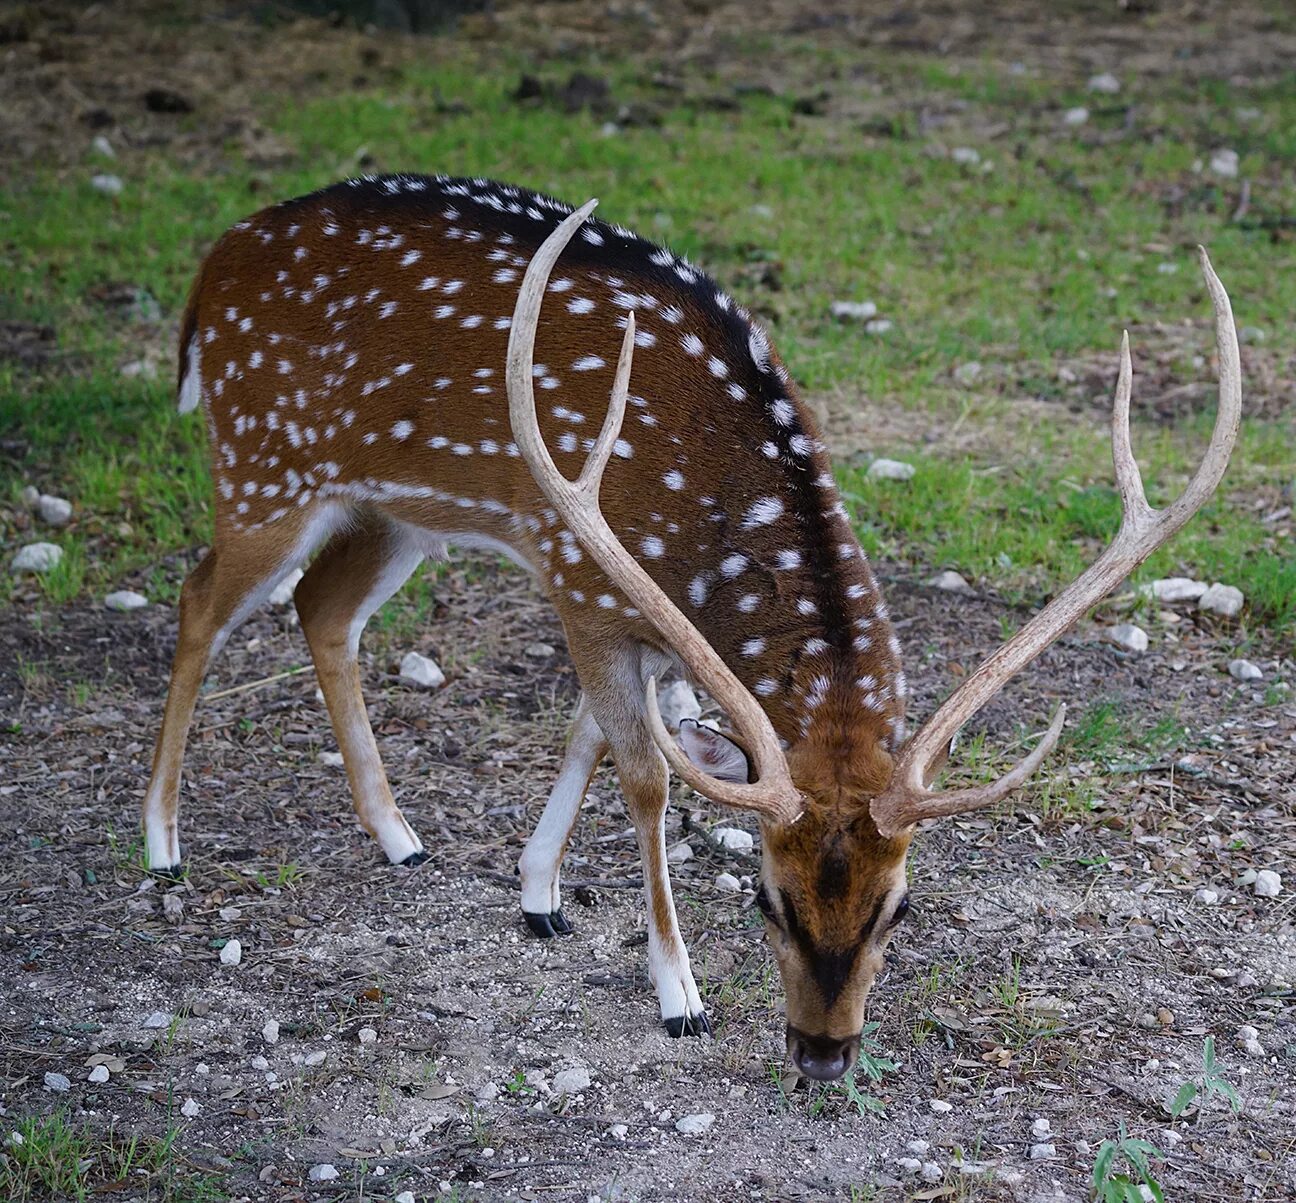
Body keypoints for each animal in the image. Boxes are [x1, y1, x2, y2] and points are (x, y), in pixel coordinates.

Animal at [144, 173, 1244, 1083]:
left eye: (897, 906)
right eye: (766, 899)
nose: (823, 1055)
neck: (699, 519)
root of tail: (210, 265)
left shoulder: (655, 626)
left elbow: (591, 735)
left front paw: (538, 891)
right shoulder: (576, 569)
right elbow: (646, 775)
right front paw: (678, 993)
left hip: (390, 510)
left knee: (322, 610)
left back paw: (399, 836)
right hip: (265, 462)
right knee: (199, 598)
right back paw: (162, 841)